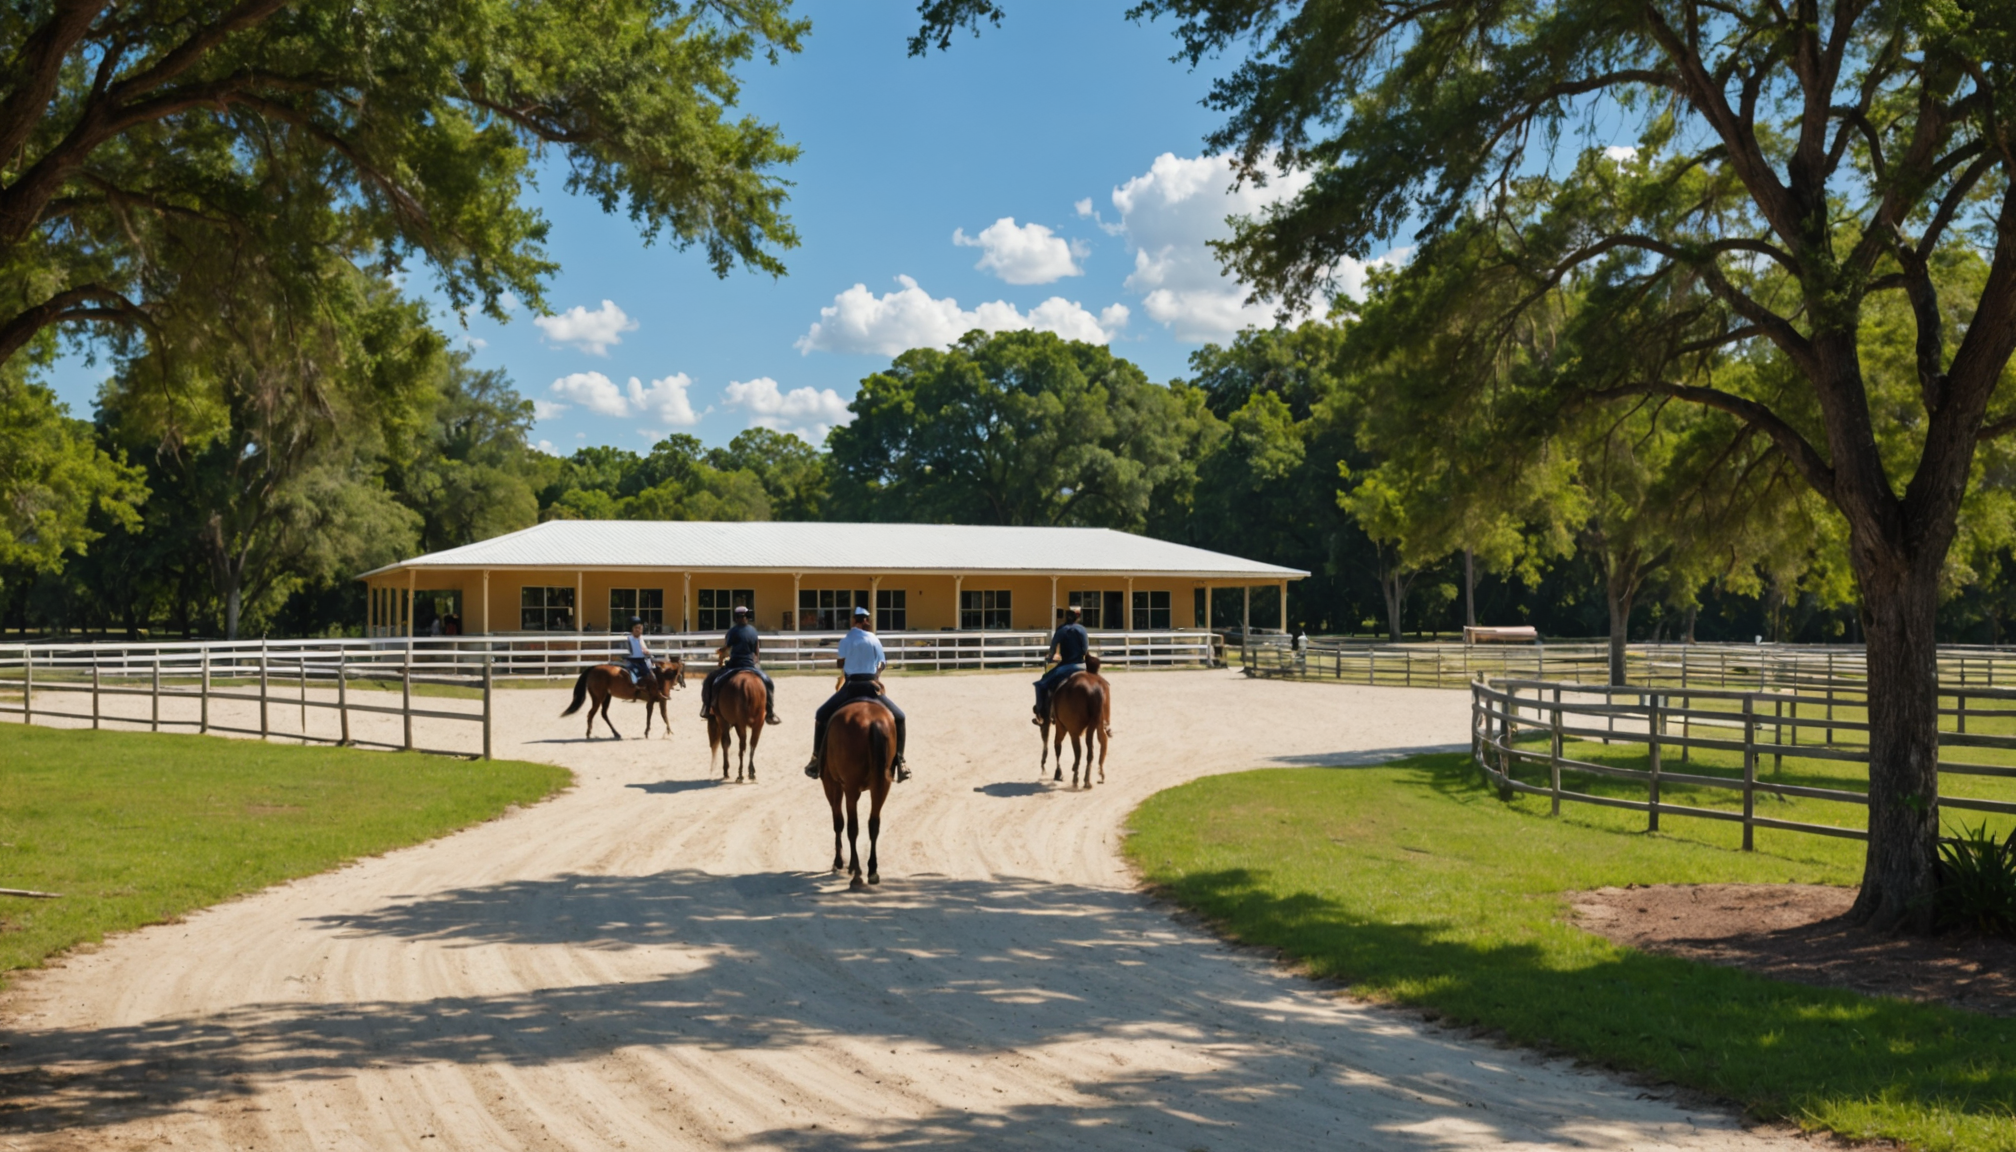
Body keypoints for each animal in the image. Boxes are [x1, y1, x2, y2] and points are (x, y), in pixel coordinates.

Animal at [823, 698, 895, 887]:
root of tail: (873, 722)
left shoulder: (832, 784)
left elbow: (838, 822)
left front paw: (839, 862)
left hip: (850, 788)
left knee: (852, 828)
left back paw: (856, 874)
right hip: (882, 786)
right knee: (874, 824)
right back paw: (872, 871)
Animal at [1040, 653, 1110, 788]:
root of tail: (1095, 688)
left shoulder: (1061, 726)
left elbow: (1057, 746)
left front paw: (1058, 773)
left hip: (1073, 730)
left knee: (1079, 751)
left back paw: (1078, 778)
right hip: (1096, 724)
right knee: (1100, 744)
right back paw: (1097, 776)